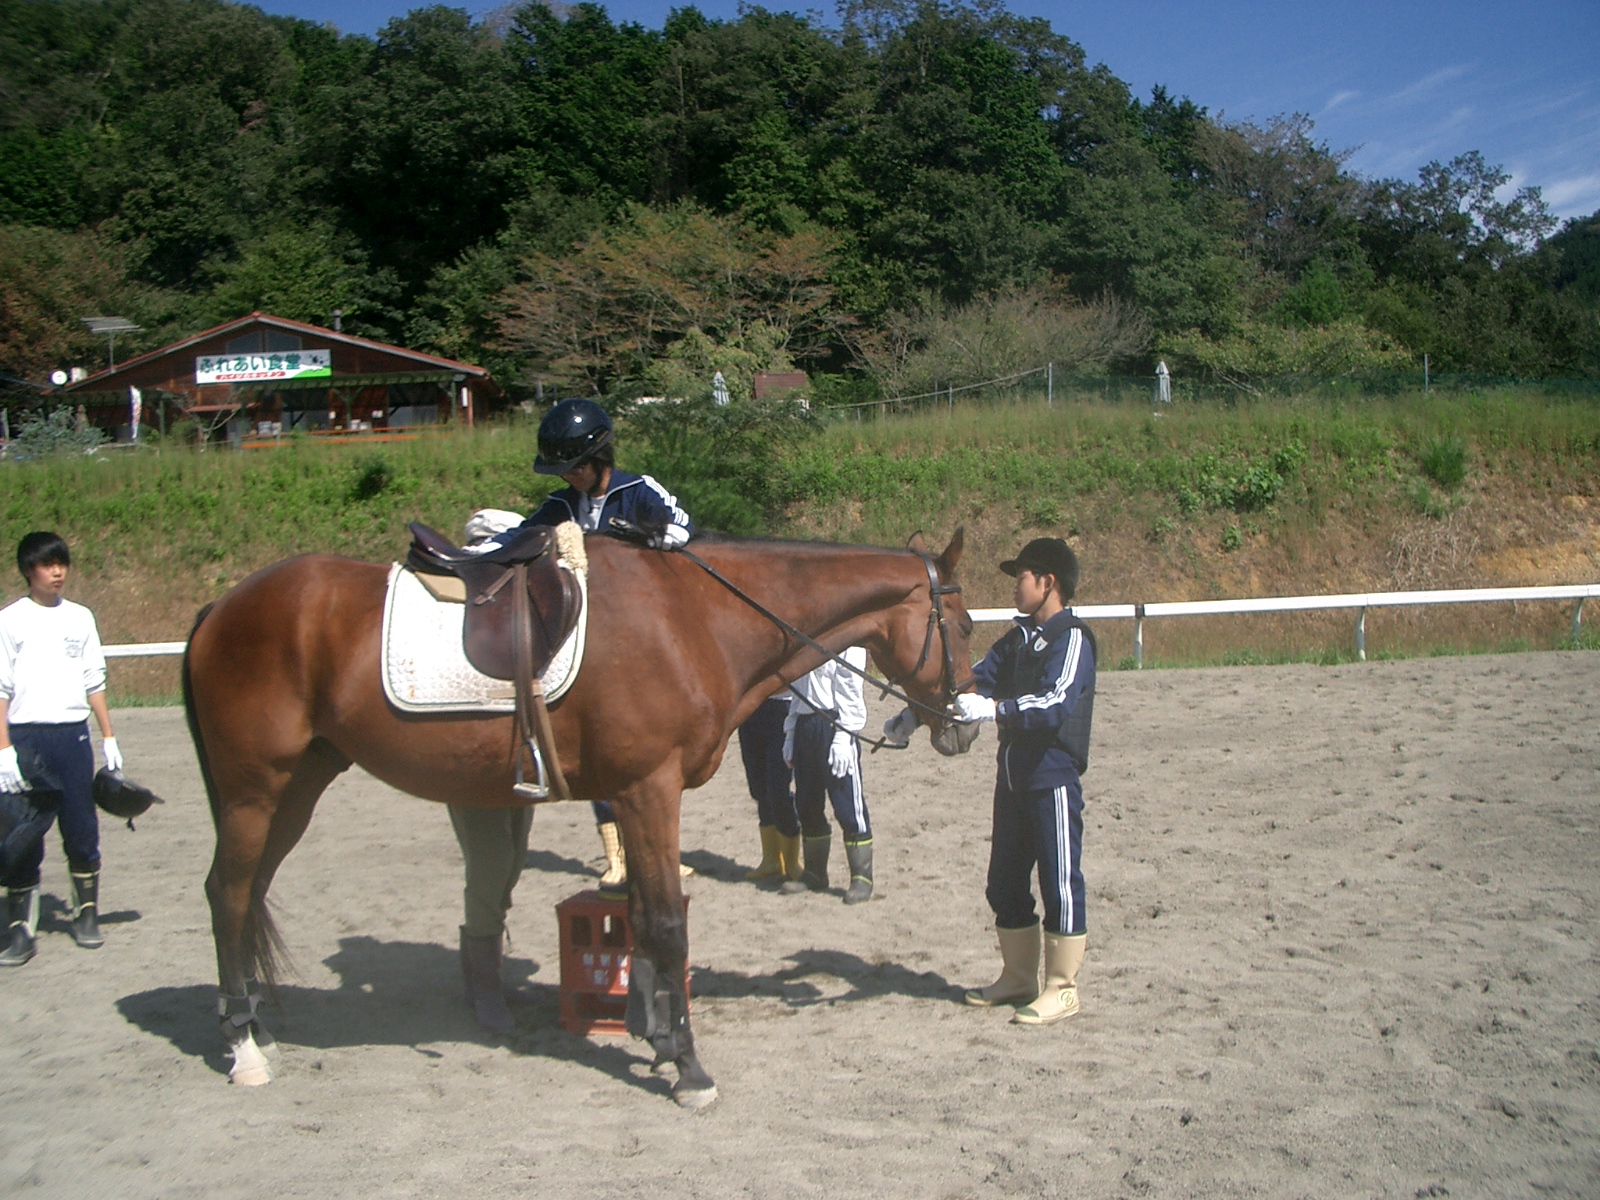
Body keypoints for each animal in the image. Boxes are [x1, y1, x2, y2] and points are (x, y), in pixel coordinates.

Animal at [182, 528, 977, 1108]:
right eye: (966, 625)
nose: (964, 728)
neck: (694, 617)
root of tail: (223, 608)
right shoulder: (650, 790)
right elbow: (666, 923)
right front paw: (689, 1069)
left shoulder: (632, 795)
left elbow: (639, 917)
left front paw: (654, 1036)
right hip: (254, 791)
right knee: (227, 894)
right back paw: (244, 1048)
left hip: (297, 787)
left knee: (247, 894)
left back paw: (255, 1028)